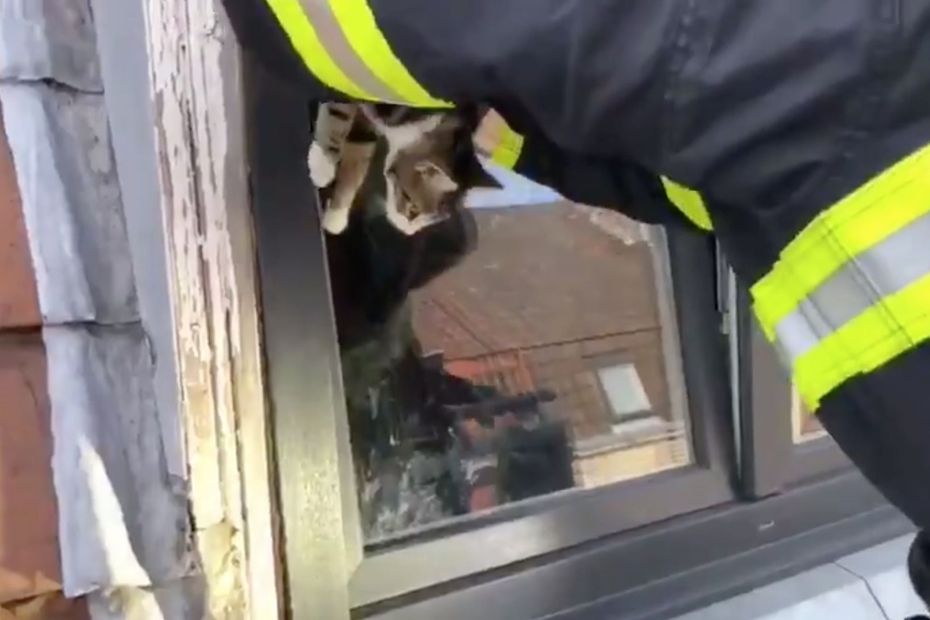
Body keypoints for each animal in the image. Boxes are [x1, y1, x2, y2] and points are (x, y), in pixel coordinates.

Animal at [308, 101, 500, 237]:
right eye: (413, 209)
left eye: (433, 222)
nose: (409, 233)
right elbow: (337, 112)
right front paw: (322, 161)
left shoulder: (369, 129)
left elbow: (357, 158)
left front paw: (336, 216)